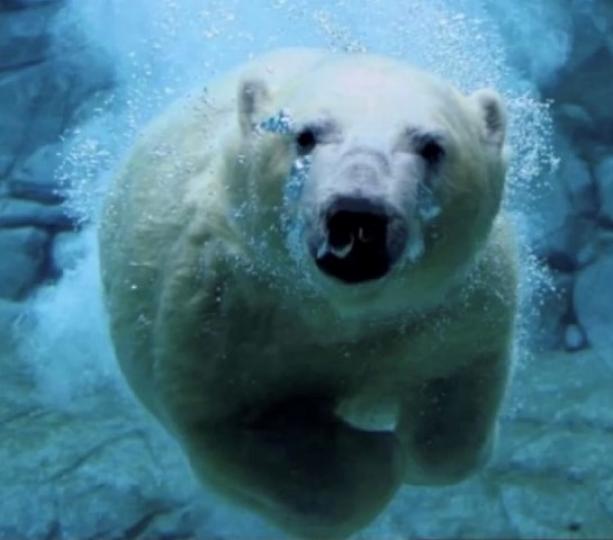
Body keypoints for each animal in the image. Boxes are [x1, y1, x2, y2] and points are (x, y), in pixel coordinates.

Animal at [99, 47, 516, 540]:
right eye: (305, 136)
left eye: (432, 146)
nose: (358, 216)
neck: (337, 311)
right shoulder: (221, 310)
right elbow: (243, 432)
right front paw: (378, 456)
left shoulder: (455, 306)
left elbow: (456, 396)